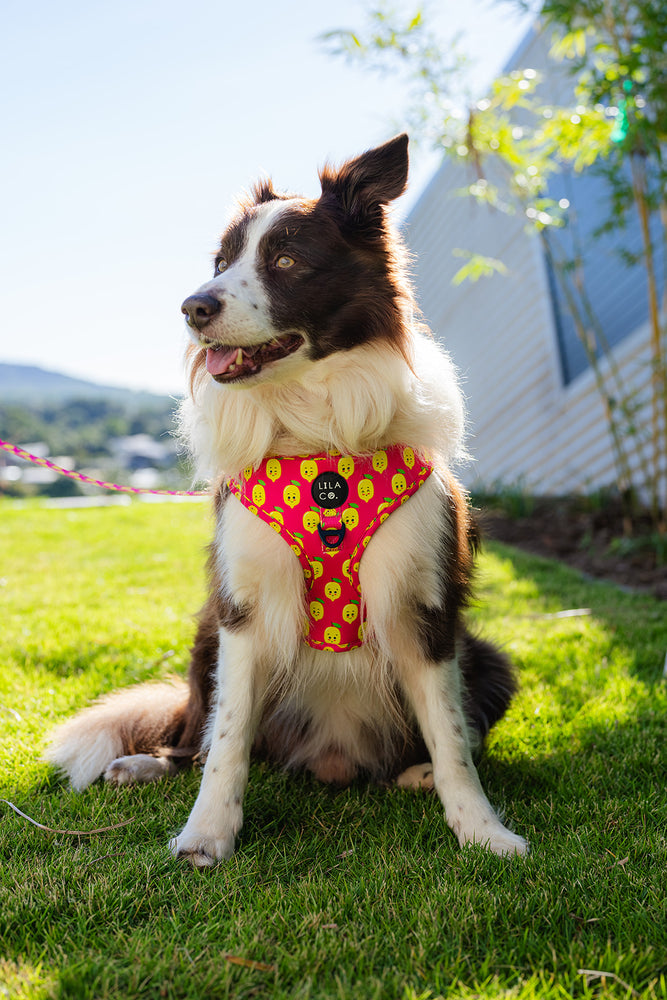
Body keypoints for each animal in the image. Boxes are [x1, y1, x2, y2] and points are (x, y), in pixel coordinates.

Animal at [47, 133, 528, 864]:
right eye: (220, 263)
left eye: (285, 260)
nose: (192, 308)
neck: (315, 431)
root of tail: (332, 761)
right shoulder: (242, 610)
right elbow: (226, 742)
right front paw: (207, 834)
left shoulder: (423, 606)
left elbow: (450, 738)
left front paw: (481, 829)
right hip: (204, 636)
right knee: (196, 738)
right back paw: (145, 763)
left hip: (489, 660)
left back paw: (412, 774)